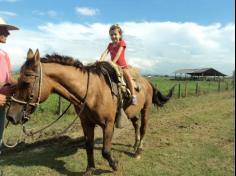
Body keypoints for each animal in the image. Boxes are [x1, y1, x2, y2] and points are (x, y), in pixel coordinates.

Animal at [6, 48, 175, 175]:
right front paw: (90, 168)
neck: (92, 92)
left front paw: (114, 165)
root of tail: (147, 82)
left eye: (26, 82)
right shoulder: (86, 123)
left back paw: (138, 150)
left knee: (143, 127)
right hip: (132, 112)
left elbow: (106, 151)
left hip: (146, 109)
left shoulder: (108, 124)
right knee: (136, 125)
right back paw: (134, 145)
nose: (10, 116)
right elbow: (89, 146)